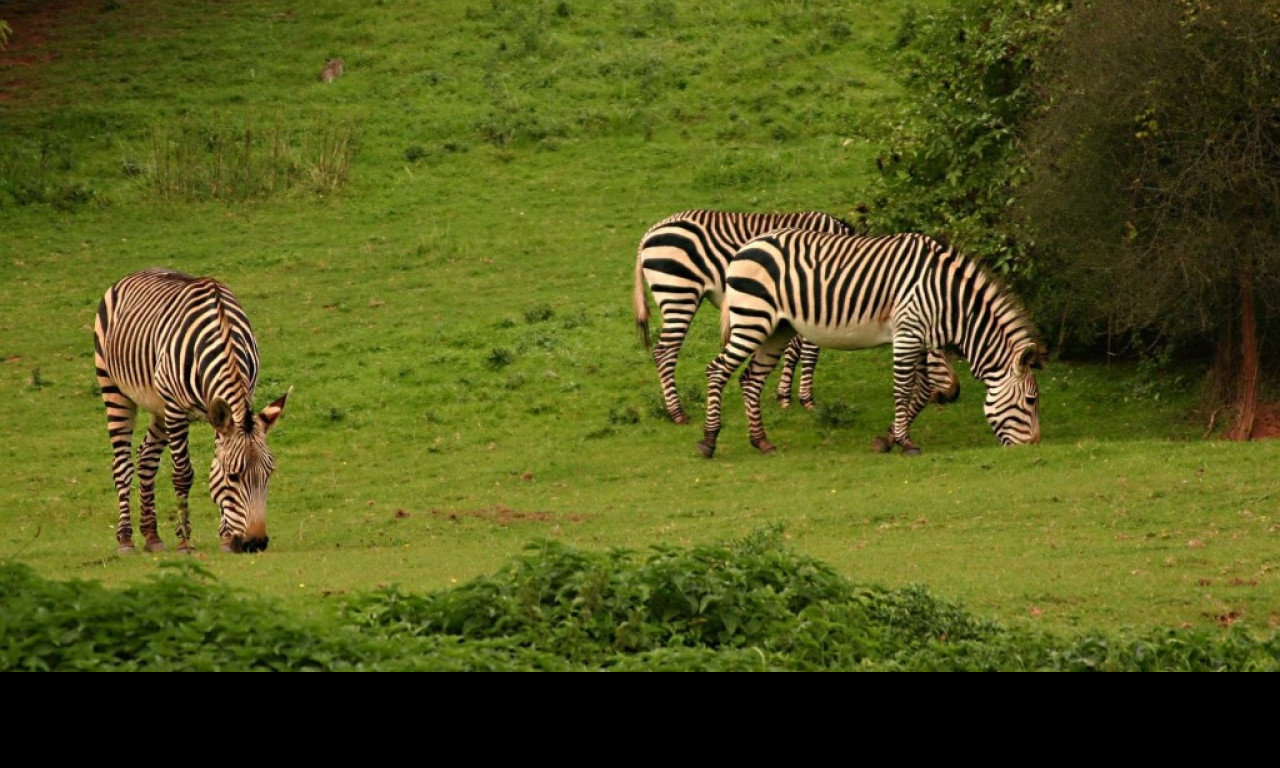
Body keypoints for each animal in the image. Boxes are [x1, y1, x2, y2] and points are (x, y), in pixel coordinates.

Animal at [93, 270, 290, 552]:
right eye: (234, 477)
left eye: (269, 473)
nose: (256, 543)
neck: (223, 335)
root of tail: (135, 274)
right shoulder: (176, 409)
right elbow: (183, 474)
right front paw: (185, 541)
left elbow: (214, 468)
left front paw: (226, 536)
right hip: (114, 387)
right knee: (122, 464)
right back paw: (126, 539)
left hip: (159, 406)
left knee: (146, 458)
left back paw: (152, 536)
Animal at [634, 209, 957, 422]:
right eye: (939, 352)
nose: (953, 396)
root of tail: (650, 231)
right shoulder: (817, 298)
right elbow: (809, 352)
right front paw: (805, 399)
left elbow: (794, 350)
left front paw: (784, 395)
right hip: (679, 291)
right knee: (665, 352)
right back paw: (677, 413)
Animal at [696, 227, 1044, 455]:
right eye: (1031, 401)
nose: (1033, 447)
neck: (949, 299)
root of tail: (747, 245)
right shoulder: (907, 333)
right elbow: (904, 389)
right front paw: (906, 443)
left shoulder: (919, 338)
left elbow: (923, 391)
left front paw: (889, 439)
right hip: (752, 318)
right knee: (717, 371)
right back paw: (709, 441)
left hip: (776, 328)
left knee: (750, 380)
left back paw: (762, 442)